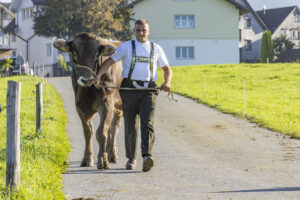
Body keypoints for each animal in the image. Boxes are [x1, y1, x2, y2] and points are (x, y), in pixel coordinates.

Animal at [54, 32, 123, 169]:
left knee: (114, 127)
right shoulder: (80, 106)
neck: (88, 90)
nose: (87, 80)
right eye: (74, 54)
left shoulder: (107, 104)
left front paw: (102, 160)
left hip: (119, 104)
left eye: (96, 55)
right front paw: (87, 158)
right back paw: (109, 150)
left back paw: (112, 153)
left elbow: (101, 132)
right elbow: (88, 132)